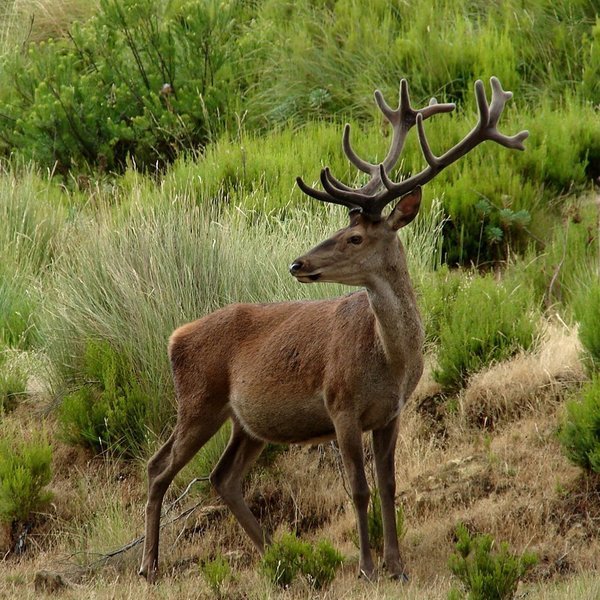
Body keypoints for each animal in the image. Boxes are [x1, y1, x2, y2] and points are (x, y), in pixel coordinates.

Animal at [138, 75, 528, 580]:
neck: (390, 361)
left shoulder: (392, 412)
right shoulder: (341, 405)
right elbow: (358, 489)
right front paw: (366, 567)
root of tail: (174, 336)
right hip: (198, 400)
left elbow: (388, 485)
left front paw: (396, 565)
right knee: (158, 466)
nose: (298, 263)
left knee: (223, 477)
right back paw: (150, 565)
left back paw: (277, 553)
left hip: (246, 422)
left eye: (354, 237)